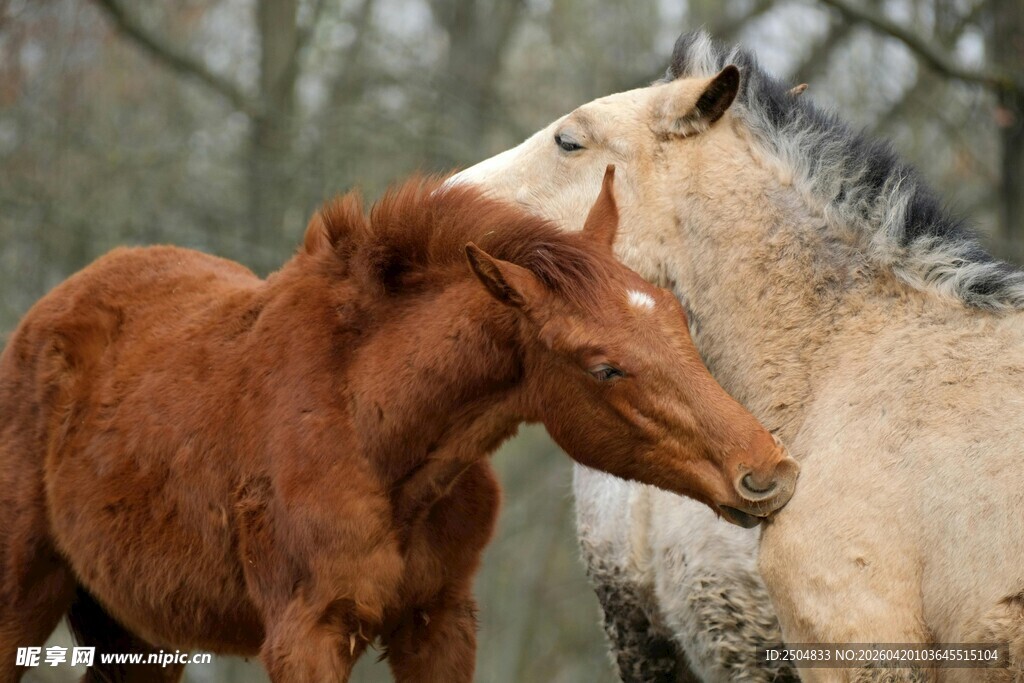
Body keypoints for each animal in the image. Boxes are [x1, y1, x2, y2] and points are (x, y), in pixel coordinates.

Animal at [0, 169, 798, 683]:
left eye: (676, 318)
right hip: (21, 602)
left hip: (137, 637)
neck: (368, 428)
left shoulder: (438, 622)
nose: (768, 471)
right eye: (603, 367)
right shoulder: (307, 634)